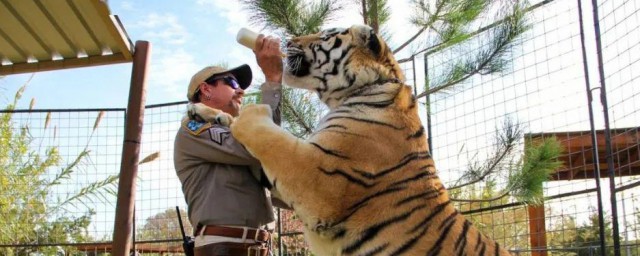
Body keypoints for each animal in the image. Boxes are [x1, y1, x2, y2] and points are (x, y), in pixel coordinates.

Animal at [195, 24, 510, 256]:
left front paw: (250, 111)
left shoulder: (318, 178)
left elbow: (270, 136)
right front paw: (204, 111)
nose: (288, 40)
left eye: (324, 36)